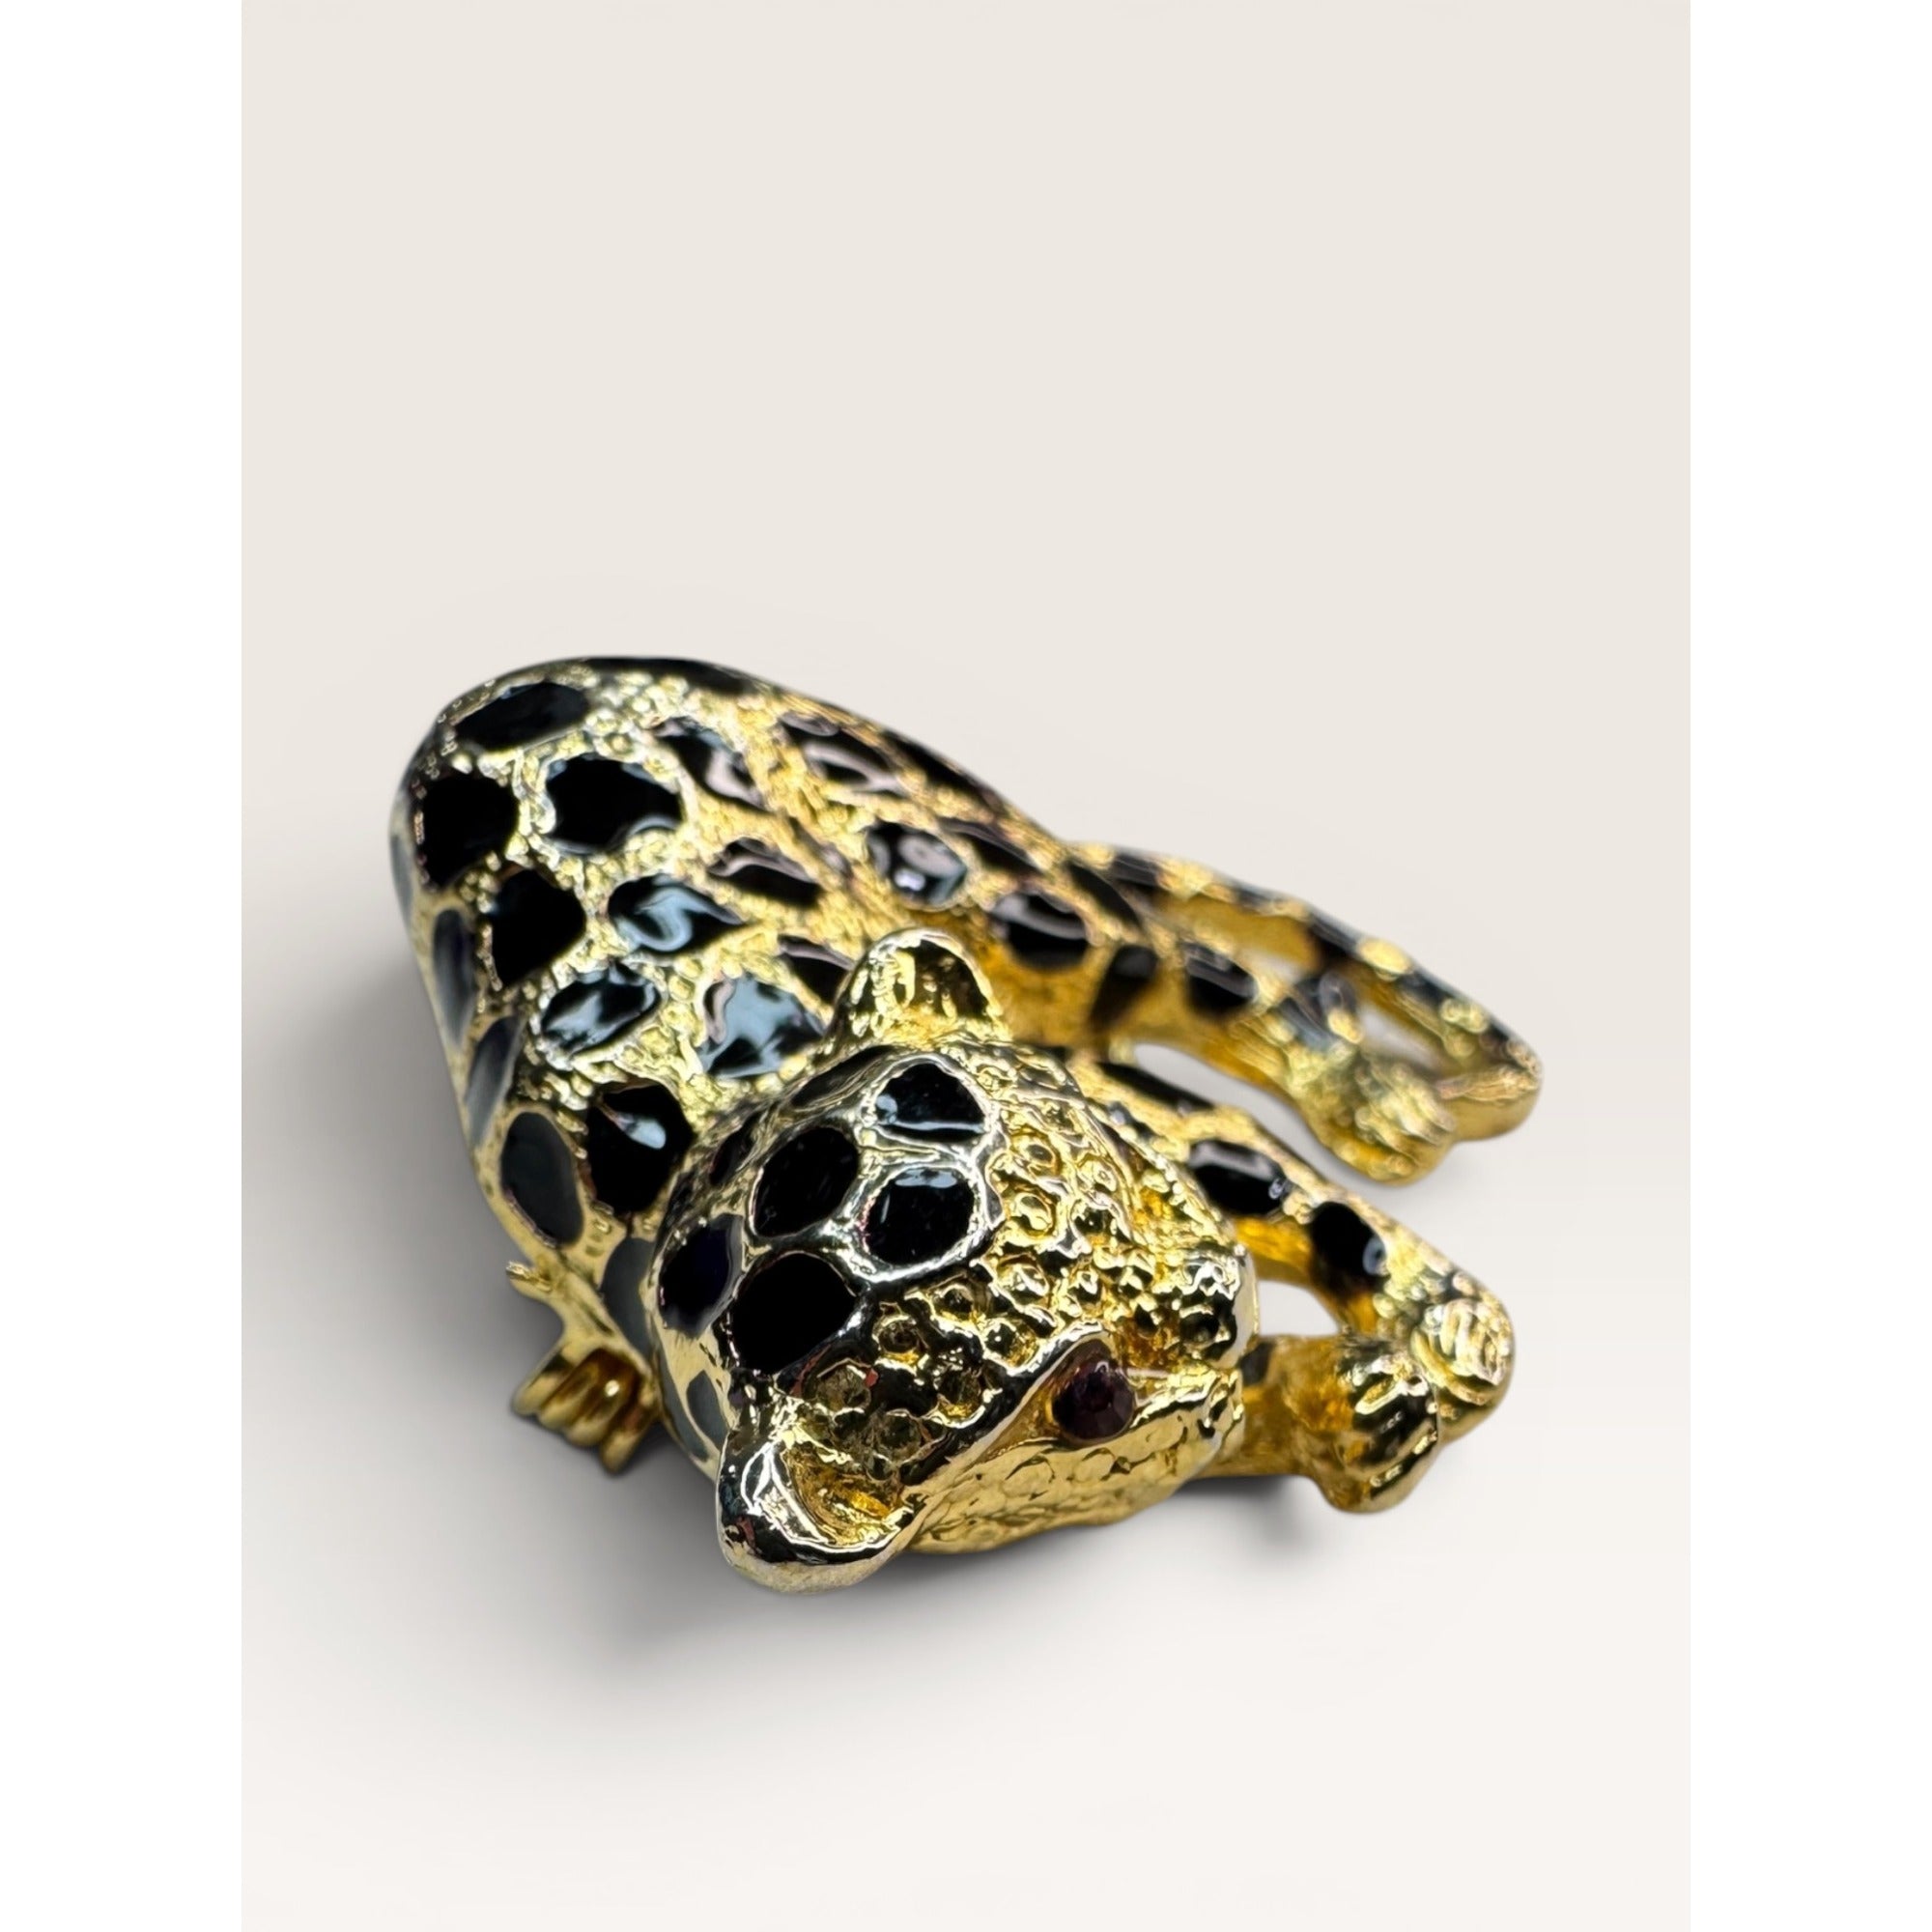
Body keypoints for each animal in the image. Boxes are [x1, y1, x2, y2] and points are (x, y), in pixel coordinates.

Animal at [390, 656, 1542, 1591]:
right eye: (1087, 1399)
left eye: (1113, 1173)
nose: (1217, 1304)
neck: (713, 1135)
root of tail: (494, 686)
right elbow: (1206, 1428)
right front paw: (1355, 1414)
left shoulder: (1156, 1116)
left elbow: (1323, 1216)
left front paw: (1450, 1343)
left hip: (976, 874)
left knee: (1202, 969)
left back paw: (1377, 1103)